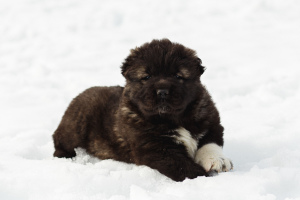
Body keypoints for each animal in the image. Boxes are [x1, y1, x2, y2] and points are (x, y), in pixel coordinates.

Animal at [52, 38, 233, 181]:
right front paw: (204, 177)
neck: (174, 118)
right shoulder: (155, 147)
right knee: (59, 138)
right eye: (147, 77)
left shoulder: (210, 121)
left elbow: (210, 143)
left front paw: (217, 161)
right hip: (76, 128)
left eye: (178, 76)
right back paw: (66, 155)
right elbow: (183, 166)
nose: (162, 91)